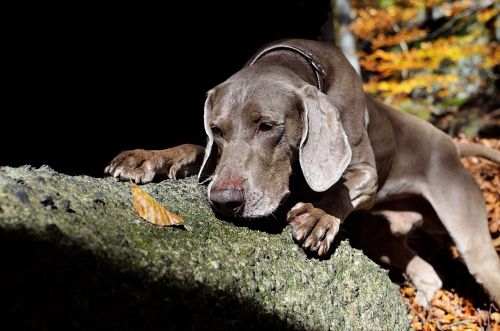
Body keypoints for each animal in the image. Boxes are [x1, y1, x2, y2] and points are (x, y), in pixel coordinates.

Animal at [105, 38, 500, 306]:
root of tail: (452, 145)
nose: (224, 201)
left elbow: (340, 188)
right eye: (217, 130)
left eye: (267, 126)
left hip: (472, 243)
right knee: (422, 270)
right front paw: (146, 157)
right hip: (380, 234)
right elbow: (195, 151)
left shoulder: (366, 171)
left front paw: (317, 217)